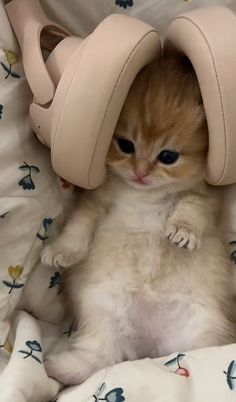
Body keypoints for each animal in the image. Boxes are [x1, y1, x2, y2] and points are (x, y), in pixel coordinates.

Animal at [41, 57, 235, 386]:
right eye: (125, 145)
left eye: (168, 156)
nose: (141, 172)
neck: (146, 193)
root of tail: (151, 346)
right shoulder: (97, 202)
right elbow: (78, 228)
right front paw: (60, 253)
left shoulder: (204, 197)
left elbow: (190, 210)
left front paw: (182, 233)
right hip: (103, 308)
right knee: (98, 357)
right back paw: (52, 366)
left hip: (203, 328)